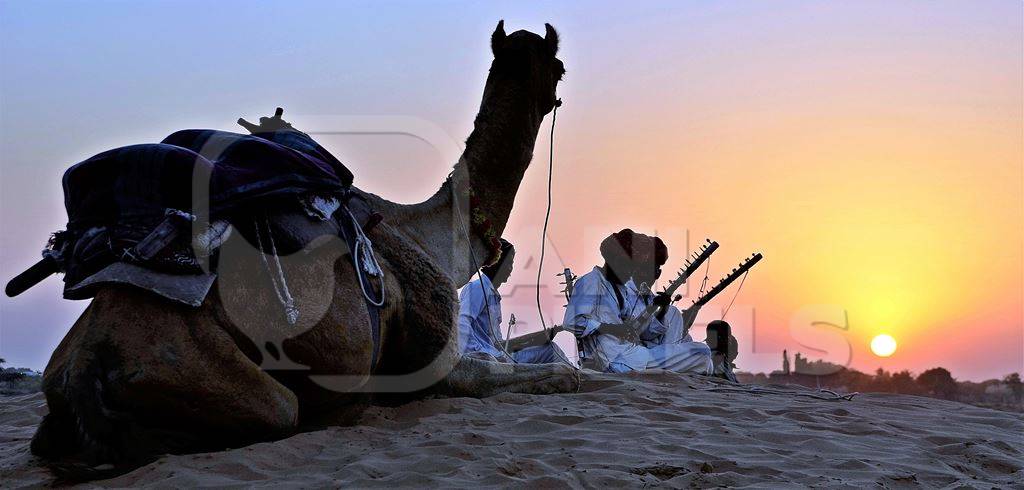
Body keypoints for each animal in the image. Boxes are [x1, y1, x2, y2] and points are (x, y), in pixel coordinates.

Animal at [29, 20, 577, 474]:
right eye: (560, 67)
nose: (555, 94)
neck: (435, 235)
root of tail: (84, 362)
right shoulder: (434, 366)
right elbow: (559, 373)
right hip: (211, 374)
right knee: (275, 411)